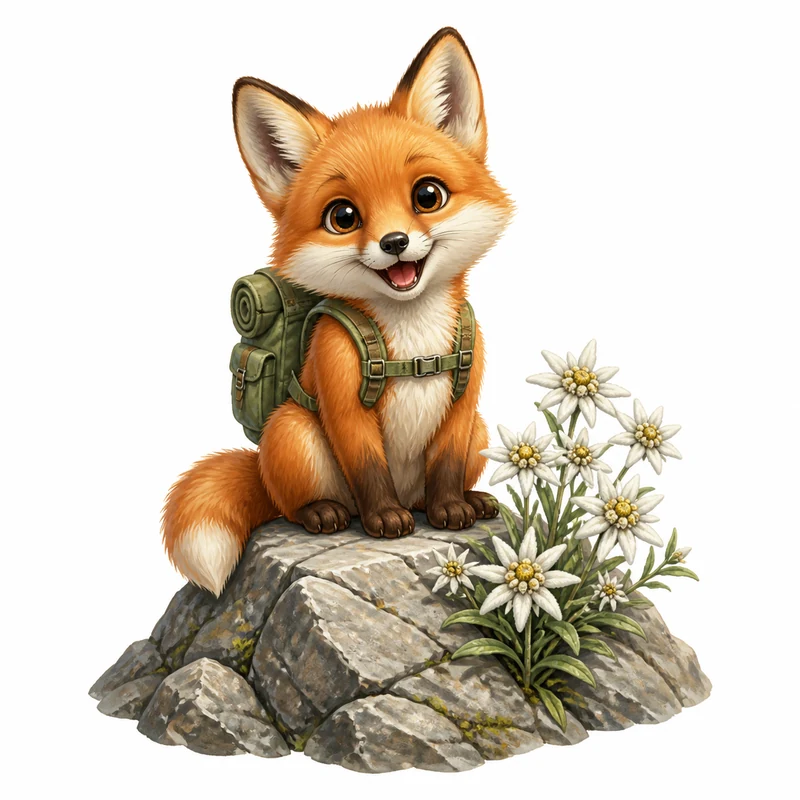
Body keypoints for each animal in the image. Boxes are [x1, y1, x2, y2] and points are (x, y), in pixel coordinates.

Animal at [162, 27, 513, 596]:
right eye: (343, 216)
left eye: (428, 195)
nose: (395, 243)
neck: (413, 342)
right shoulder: (343, 401)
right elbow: (368, 469)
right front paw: (386, 520)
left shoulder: (464, 404)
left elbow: (445, 468)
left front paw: (451, 510)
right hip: (293, 432)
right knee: (289, 504)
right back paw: (324, 512)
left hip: (480, 431)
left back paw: (468, 501)